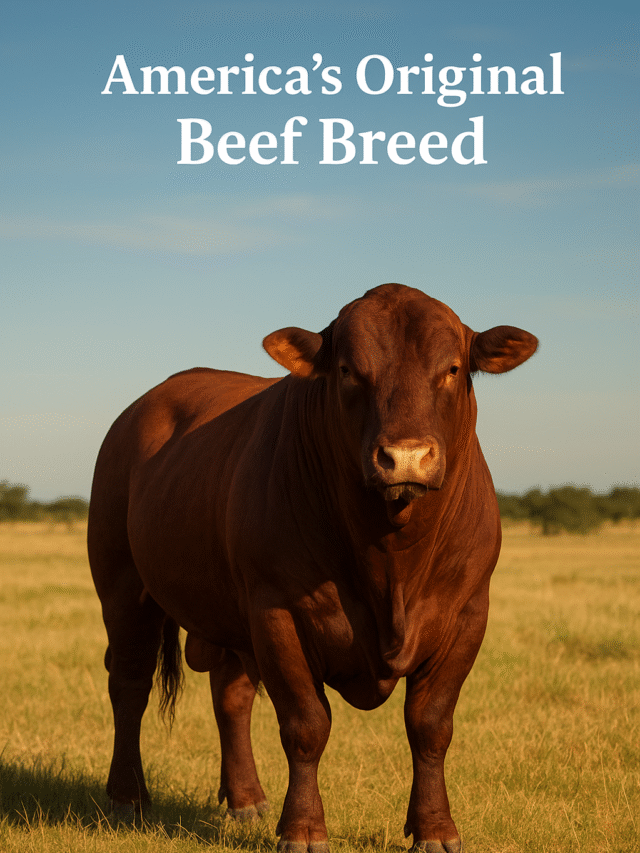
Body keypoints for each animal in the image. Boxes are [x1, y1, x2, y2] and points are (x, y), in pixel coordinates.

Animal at [88, 283, 537, 852]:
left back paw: (245, 799)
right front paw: (302, 829)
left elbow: (430, 725)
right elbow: (306, 725)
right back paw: (128, 797)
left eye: (453, 368)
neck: (391, 560)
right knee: (129, 684)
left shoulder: (467, 614)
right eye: (348, 370)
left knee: (230, 695)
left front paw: (435, 829)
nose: (405, 458)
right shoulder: (278, 611)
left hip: (227, 615)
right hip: (123, 588)